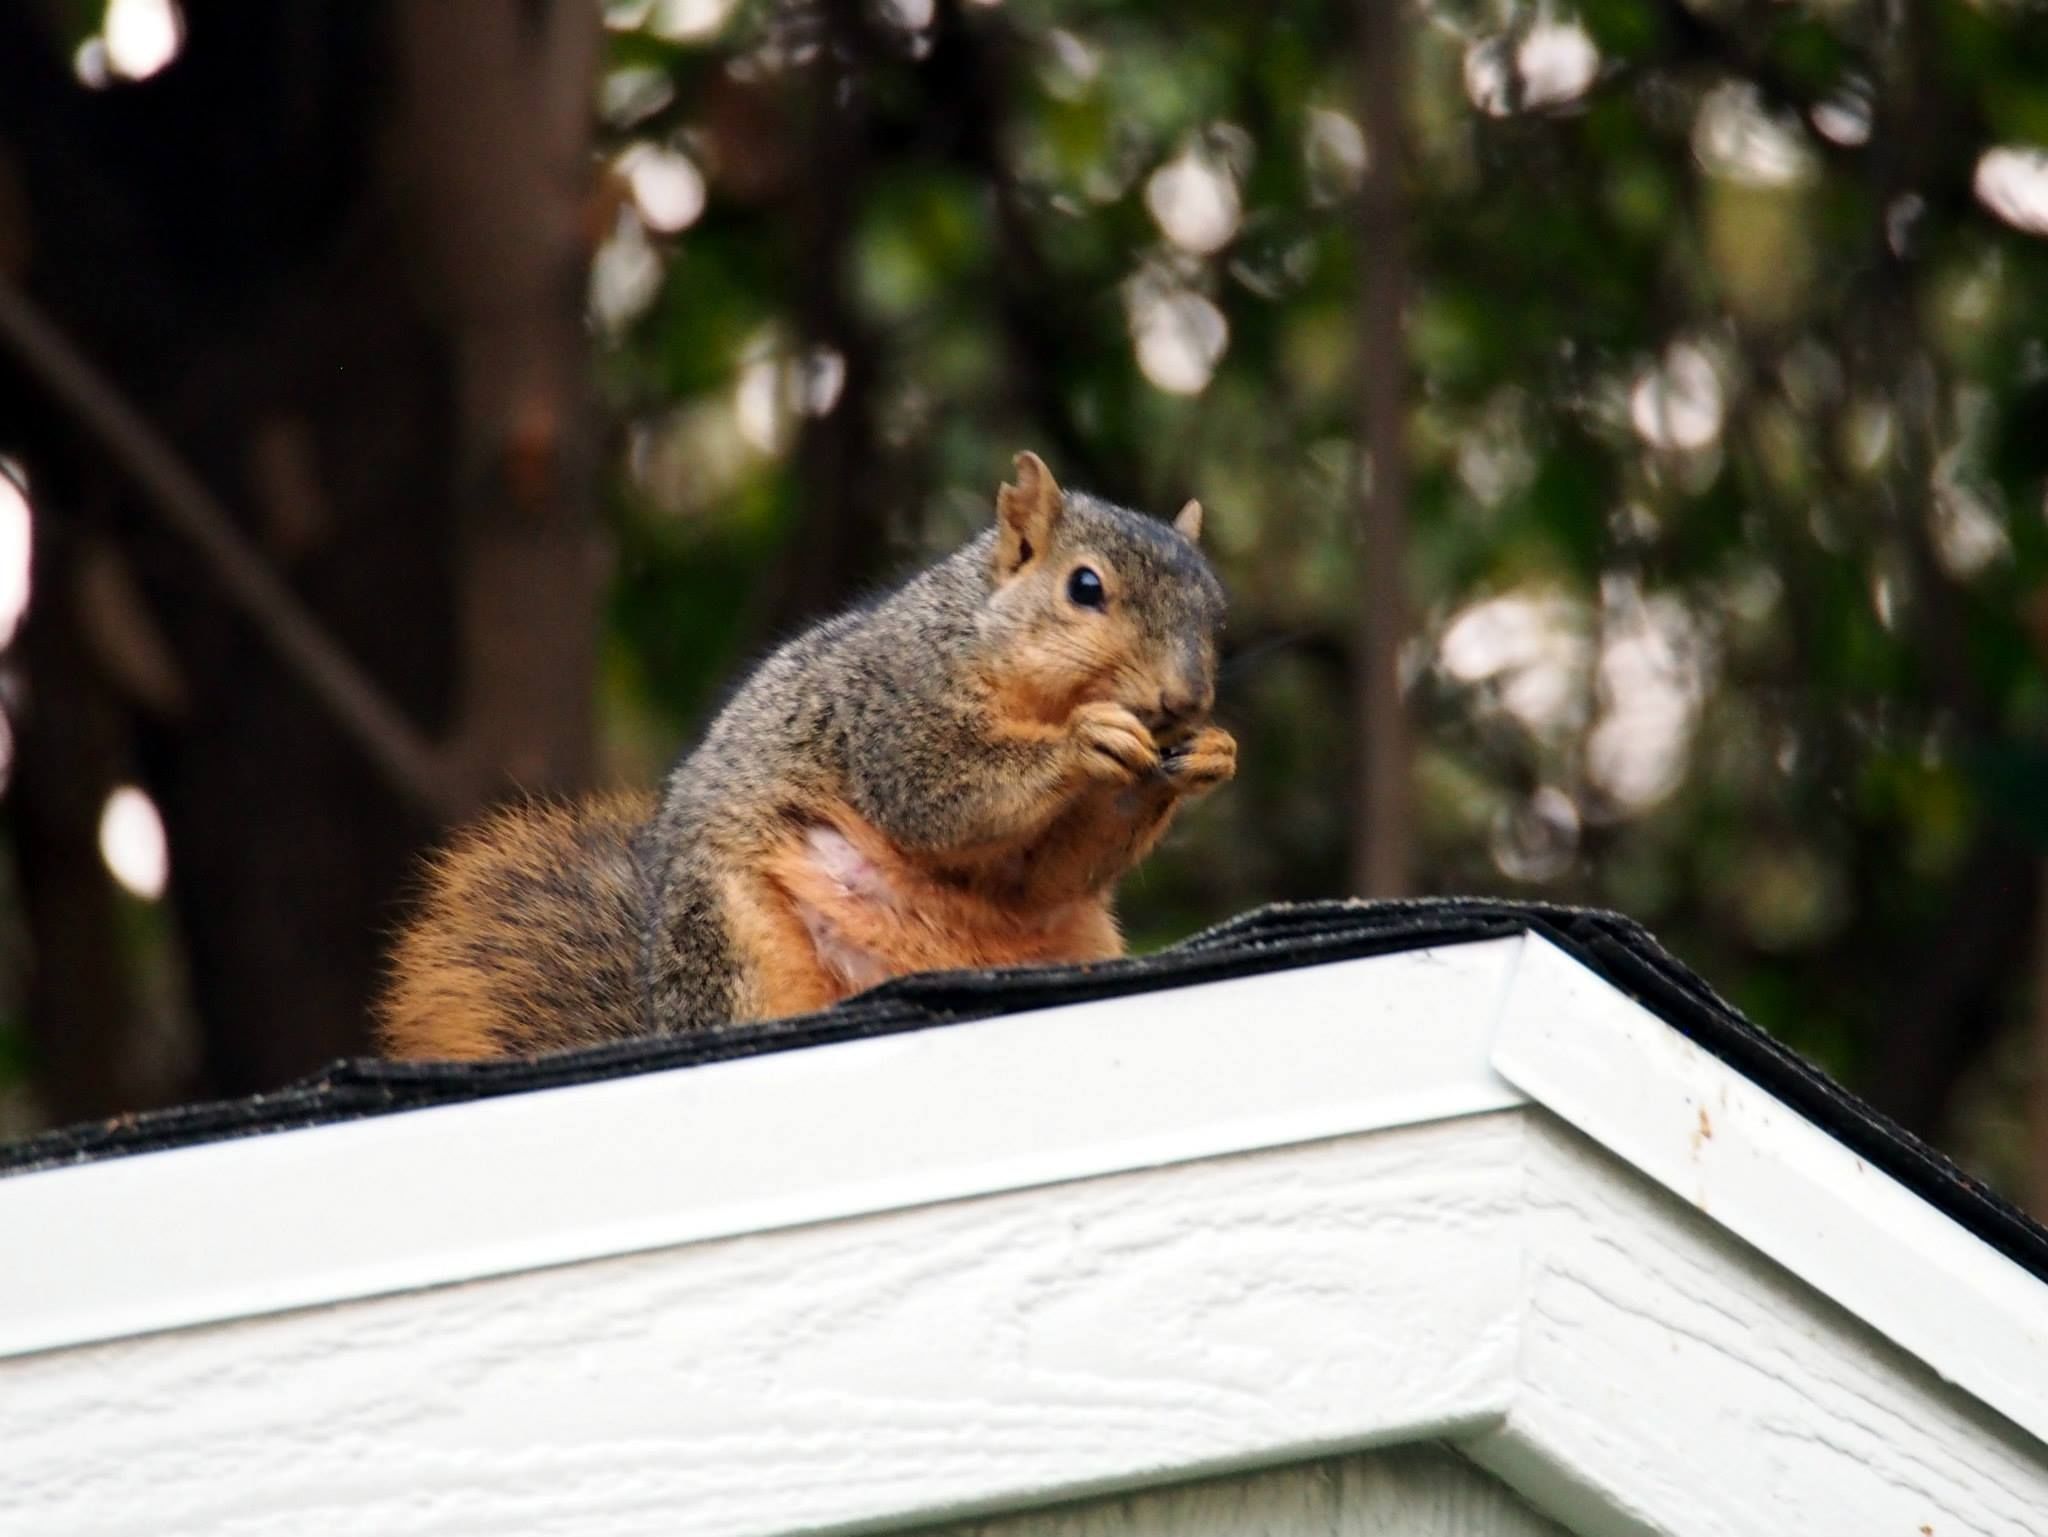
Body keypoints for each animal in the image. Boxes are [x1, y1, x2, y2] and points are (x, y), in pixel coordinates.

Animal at [378, 451, 1235, 1059]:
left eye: (1215, 615)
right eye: (1085, 587)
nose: (1185, 699)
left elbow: (1048, 874)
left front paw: (1204, 755)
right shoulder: (891, 706)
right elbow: (937, 794)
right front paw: (1086, 741)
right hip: (737, 944)